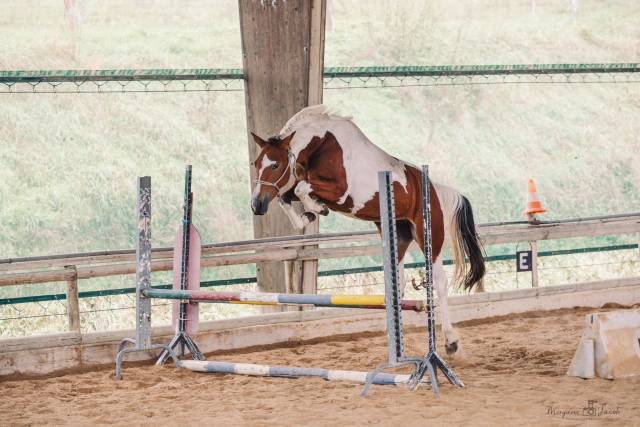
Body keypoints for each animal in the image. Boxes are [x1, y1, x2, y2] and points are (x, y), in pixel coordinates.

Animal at [250, 105, 484, 356]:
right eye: (256, 163)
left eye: (275, 165)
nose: (257, 205)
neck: (321, 145)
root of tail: (434, 188)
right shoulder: (299, 184)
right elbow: (287, 195)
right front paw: (308, 215)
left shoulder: (340, 192)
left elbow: (301, 188)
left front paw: (317, 209)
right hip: (398, 235)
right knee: (398, 282)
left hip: (428, 235)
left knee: (439, 280)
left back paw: (451, 341)